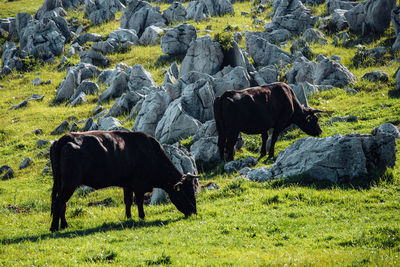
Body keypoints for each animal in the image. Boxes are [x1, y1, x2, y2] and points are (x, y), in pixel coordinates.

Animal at [50, 131, 198, 232]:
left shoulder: (127, 185)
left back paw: (64, 225)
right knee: (59, 203)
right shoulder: (139, 185)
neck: (151, 154)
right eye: (187, 192)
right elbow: (139, 202)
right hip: (69, 183)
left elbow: (128, 201)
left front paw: (128, 218)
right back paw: (54, 228)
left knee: (62, 204)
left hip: (63, 184)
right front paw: (142, 217)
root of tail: (65, 137)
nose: (194, 212)